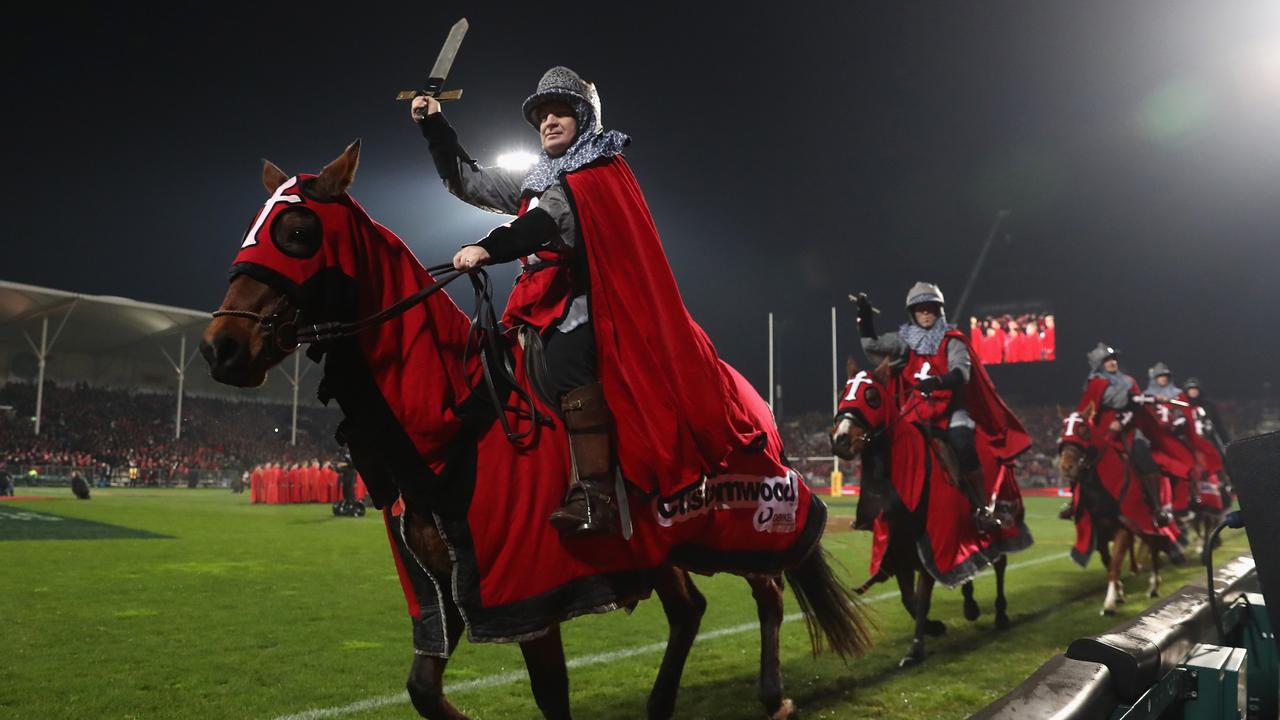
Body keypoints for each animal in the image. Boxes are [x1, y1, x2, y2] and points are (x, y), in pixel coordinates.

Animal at [199, 141, 875, 717]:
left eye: (297, 232)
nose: (220, 348)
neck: (459, 413)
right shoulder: (441, 589)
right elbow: (422, 689)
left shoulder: (529, 596)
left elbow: (550, 695)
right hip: (659, 547)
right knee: (690, 611)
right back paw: (660, 704)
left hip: (744, 517)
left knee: (769, 592)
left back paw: (773, 695)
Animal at [829, 356, 1029, 666]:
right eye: (843, 393)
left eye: (872, 396)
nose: (840, 439)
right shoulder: (898, 551)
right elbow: (908, 600)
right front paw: (934, 628)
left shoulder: (931, 548)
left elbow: (922, 599)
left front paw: (915, 649)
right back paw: (971, 604)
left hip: (1001, 525)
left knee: (1000, 564)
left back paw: (1000, 612)